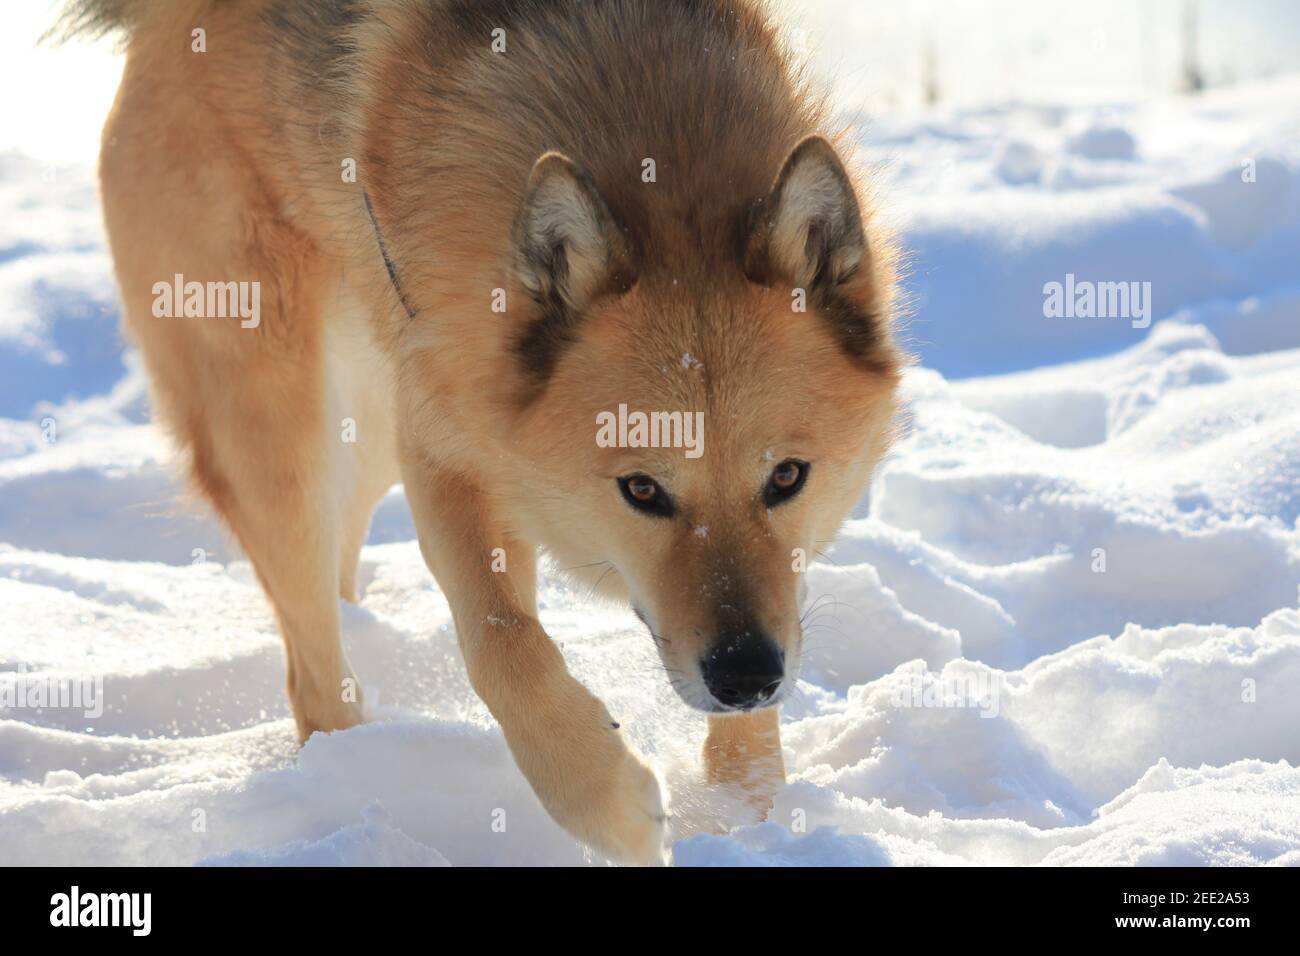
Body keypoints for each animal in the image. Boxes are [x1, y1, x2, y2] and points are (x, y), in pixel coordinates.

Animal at [53, 0, 904, 863]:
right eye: (641, 490)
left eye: (787, 478)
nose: (744, 677)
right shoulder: (450, 450)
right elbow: (502, 643)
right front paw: (607, 801)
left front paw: (741, 807)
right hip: (279, 428)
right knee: (311, 669)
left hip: (363, 426)